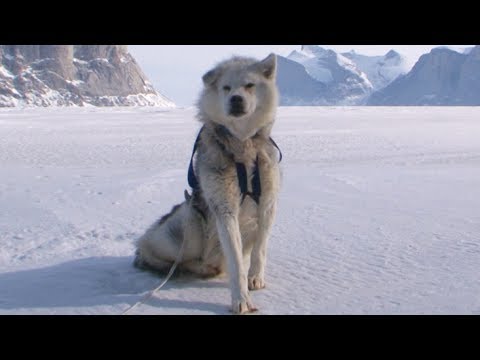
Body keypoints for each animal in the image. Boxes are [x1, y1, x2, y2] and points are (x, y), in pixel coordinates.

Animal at [133, 53, 282, 316]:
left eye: (249, 85)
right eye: (226, 87)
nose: (235, 99)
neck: (242, 148)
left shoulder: (268, 202)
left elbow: (260, 249)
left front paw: (255, 278)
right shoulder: (224, 207)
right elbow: (235, 260)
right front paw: (241, 300)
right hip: (190, 221)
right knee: (156, 253)